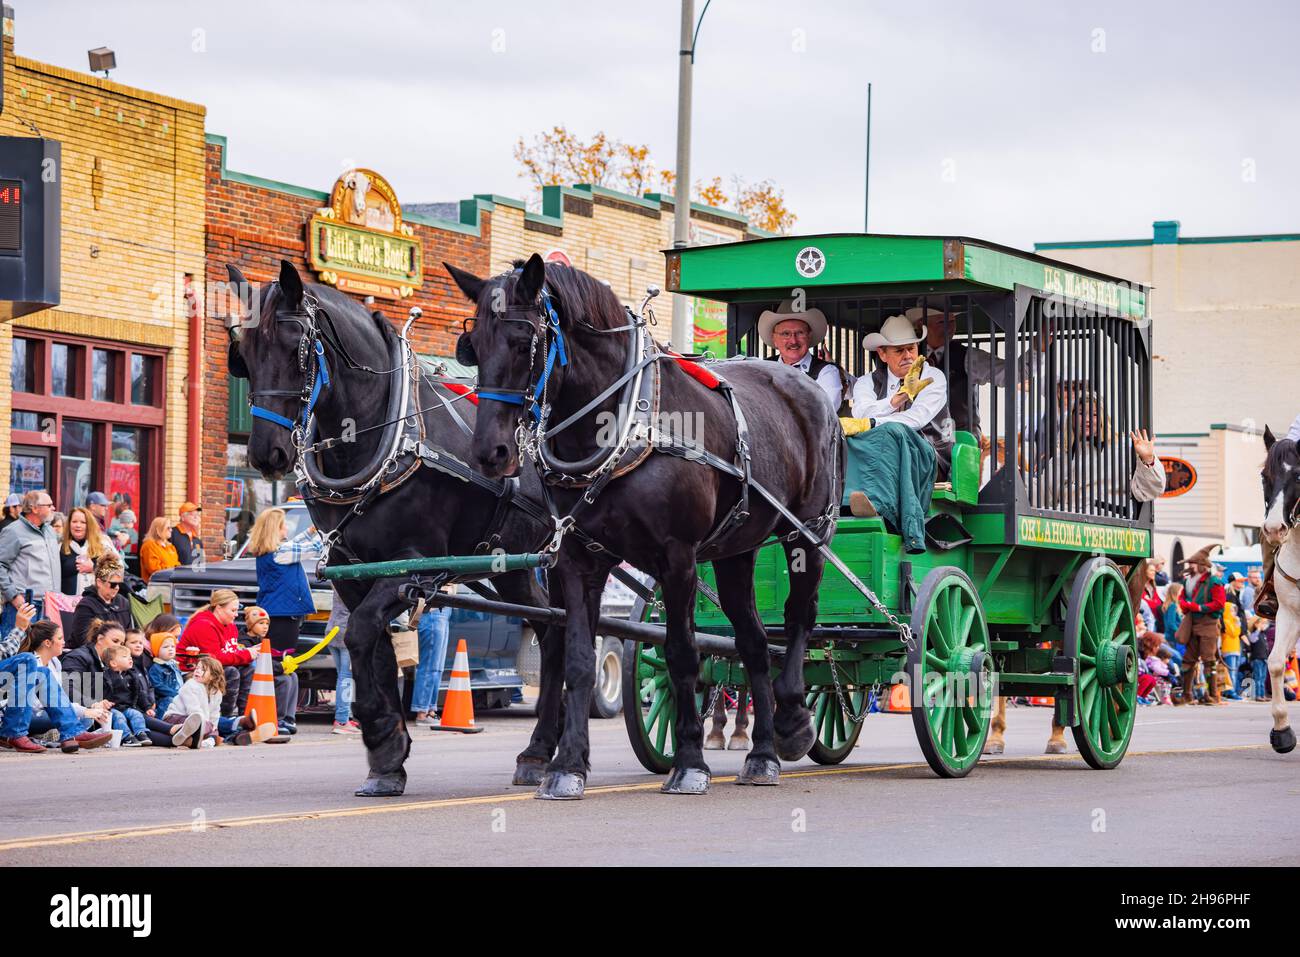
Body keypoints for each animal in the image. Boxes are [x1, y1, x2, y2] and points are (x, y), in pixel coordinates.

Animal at [224, 257, 569, 795]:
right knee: (553, 632)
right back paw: (537, 751)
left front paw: (384, 739)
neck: (384, 438)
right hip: (515, 568)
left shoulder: (410, 567)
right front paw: (387, 759)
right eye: (242, 353)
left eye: (295, 345)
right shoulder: (353, 572)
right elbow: (371, 646)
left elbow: (362, 636)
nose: (266, 453)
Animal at [452, 254, 847, 800]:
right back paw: (762, 755)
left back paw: (793, 725)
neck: (622, 423)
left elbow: (682, 654)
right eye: (473, 347)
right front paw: (566, 766)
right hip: (736, 550)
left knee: (798, 618)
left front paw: (690, 762)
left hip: (807, 533)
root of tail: (809, 388)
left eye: (521, 339)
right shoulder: (577, 557)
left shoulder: (676, 557)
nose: (491, 452)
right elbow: (579, 658)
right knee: (752, 642)